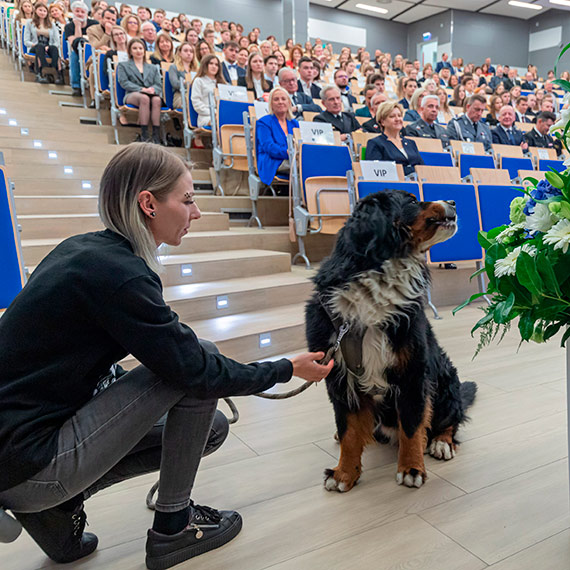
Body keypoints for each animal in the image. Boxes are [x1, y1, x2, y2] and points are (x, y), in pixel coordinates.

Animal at [306, 190, 474, 488]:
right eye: (411, 200)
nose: (453, 201)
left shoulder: (413, 372)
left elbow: (412, 425)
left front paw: (411, 468)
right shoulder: (339, 376)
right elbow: (349, 430)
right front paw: (344, 473)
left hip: (446, 381)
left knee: (451, 418)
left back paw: (442, 443)